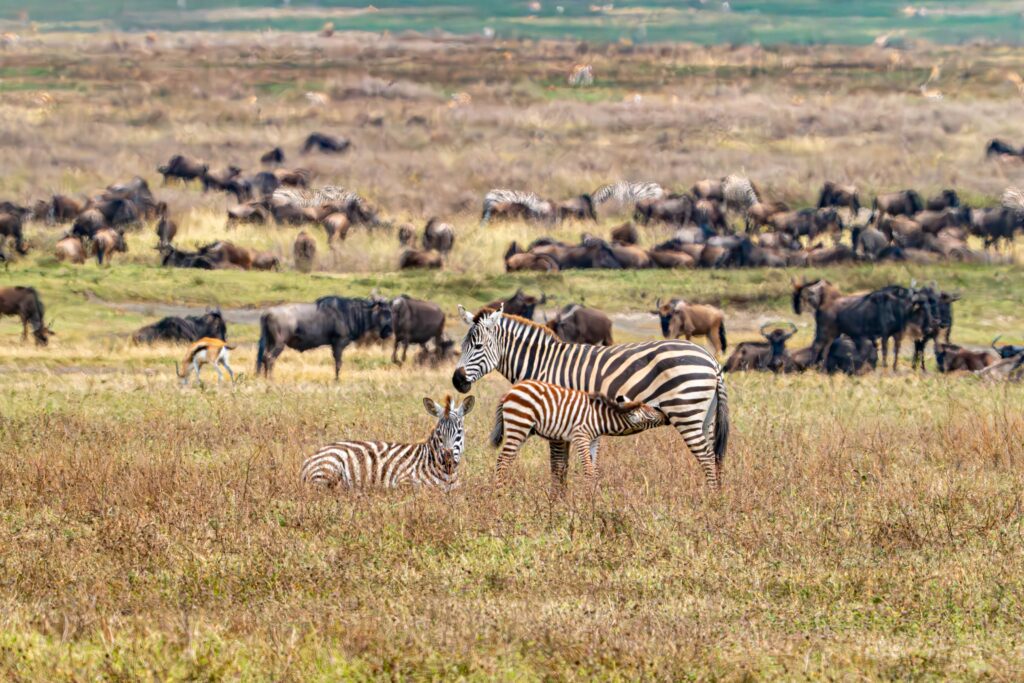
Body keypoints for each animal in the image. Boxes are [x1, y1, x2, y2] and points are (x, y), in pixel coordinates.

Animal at [296, 395, 471, 491]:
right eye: (439, 433)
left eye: (459, 432)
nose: (448, 459)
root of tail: (309, 459)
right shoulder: (404, 481)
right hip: (329, 468)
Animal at [491, 378, 667, 485]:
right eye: (651, 410)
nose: (665, 413)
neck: (600, 418)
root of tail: (511, 390)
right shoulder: (581, 437)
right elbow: (588, 470)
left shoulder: (594, 440)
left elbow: (595, 471)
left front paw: (595, 498)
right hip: (519, 425)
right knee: (503, 459)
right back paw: (500, 492)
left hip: (524, 430)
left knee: (507, 459)